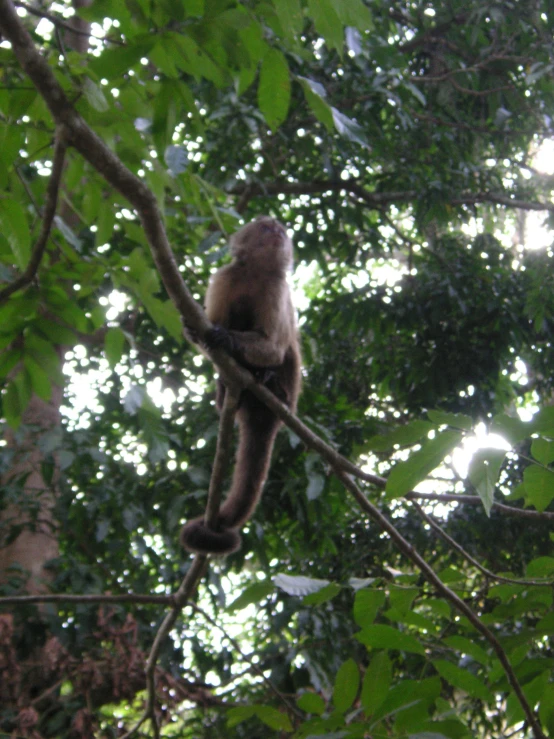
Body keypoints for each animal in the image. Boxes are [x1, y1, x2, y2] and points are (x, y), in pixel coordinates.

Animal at [179, 215, 300, 556]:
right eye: (267, 227)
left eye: (280, 231)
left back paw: (268, 383)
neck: (256, 271)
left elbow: (274, 347)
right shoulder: (226, 276)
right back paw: (227, 392)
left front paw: (229, 340)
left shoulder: (276, 288)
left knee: (288, 350)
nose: (277, 231)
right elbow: (207, 327)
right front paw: (197, 332)